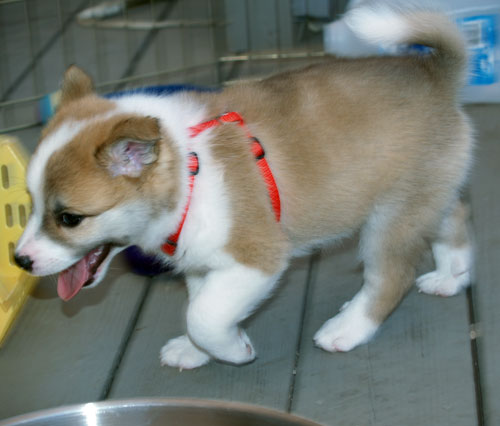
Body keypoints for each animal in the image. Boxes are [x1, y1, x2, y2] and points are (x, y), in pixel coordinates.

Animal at [13, 6, 472, 372]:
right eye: (31, 204)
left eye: (69, 218)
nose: (20, 260)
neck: (189, 171)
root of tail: (436, 74)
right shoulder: (204, 264)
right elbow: (200, 306)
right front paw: (196, 352)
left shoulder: (257, 259)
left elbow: (204, 315)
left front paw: (233, 350)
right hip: (426, 196)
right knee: (454, 218)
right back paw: (451, 276)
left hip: (389, 219)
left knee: (391, 276)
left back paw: (346, 328)